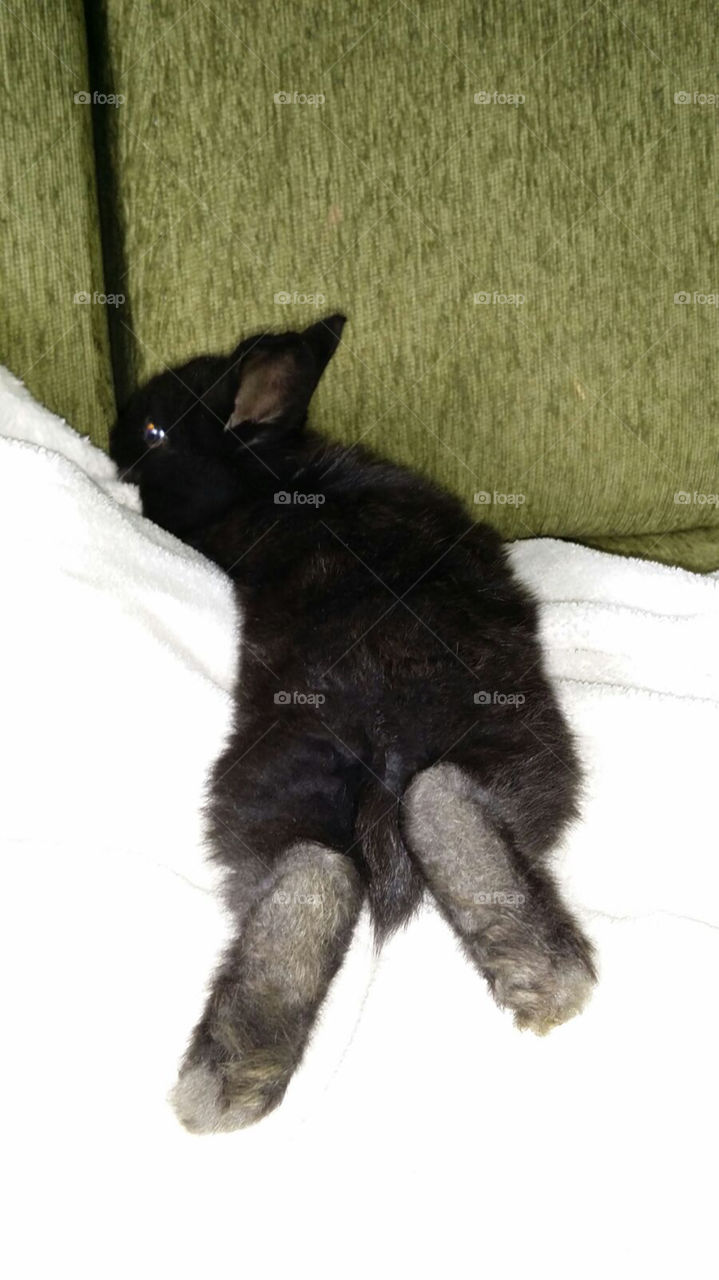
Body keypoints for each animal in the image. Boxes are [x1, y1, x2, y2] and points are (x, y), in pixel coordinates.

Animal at [110, 314, 596, 1133]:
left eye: (153, 430)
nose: (115, 436)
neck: (268, 472)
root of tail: (389, 737)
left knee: (314, 868)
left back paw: (222, 1083)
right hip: (511, 748)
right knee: (393, 833)